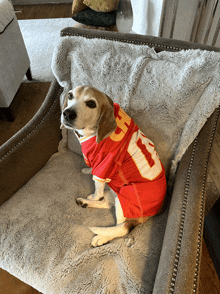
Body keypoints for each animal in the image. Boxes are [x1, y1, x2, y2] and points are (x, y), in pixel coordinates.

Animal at [61, 85, 166, 246]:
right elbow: (93, 173)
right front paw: (87, 170)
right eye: (70, 95)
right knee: (108, 203)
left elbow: (97, 190)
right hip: (117, 193)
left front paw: (94, 195)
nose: (67, 113)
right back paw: (85, 202)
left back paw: (101, 236)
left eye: (91, 103)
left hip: (126, 196)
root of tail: (160, 208)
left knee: (123, 228)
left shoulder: (104, 166)